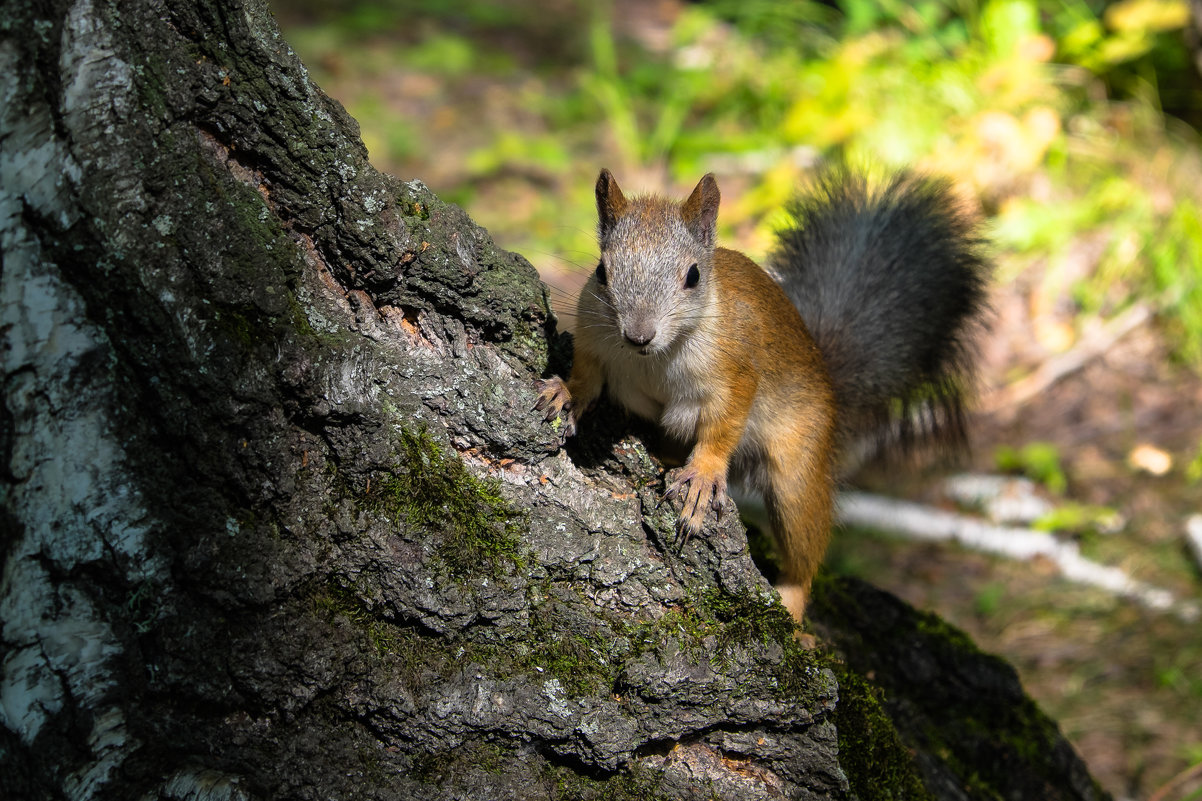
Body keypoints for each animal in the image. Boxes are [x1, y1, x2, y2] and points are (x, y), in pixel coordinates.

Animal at [536, 164, 985, 620]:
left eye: (693, 276)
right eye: (602, 271)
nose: (638, 335)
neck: (654, 358)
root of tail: (829, 380)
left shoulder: (735, 372)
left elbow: (724, 425)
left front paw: (703, 475)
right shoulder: (594, 338)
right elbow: (588, 377)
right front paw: (565, 392)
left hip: (798, 465)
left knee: (805, 545)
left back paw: (793, 598)